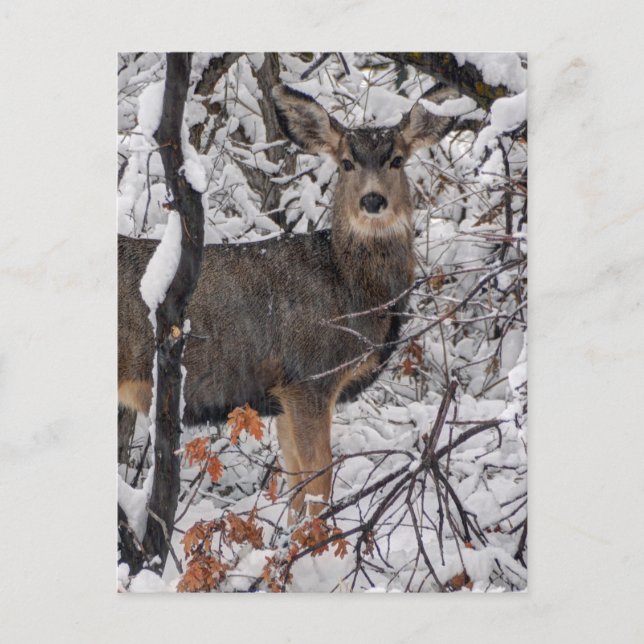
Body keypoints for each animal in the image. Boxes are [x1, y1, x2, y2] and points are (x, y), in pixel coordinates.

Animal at [118, 83, 457, 522]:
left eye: (397, 159)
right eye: (346, 163)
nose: (373, 201)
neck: (349, 290)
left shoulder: (281, 395)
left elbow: (295, 486)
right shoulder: (309, 376)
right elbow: (318, 483)